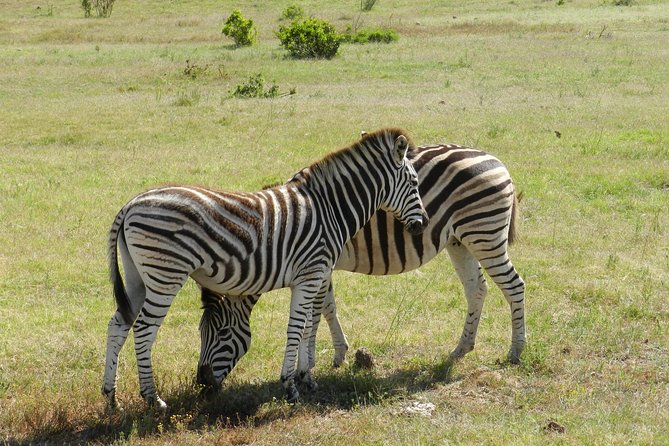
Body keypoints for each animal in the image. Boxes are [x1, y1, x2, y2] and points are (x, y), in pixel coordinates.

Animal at [103, 127, 428, 410]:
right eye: (414, 184)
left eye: (215, 332)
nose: (422, 224)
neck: (331, 209)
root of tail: (130, 204)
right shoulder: (312, 273)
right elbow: (297, 327)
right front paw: (290, 385)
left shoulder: (313, 275)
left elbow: (308, 324)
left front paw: (306, 377)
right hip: (165, 275)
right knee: (143, 329)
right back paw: (152, 398)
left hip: (137, 278)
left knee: (118, 324)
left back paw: (111, 398)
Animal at [198, 139, 528, 384]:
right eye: (201, 332)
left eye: (221, 333)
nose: (201, 383)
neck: (287, 229)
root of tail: (496, 160)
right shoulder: (321, 265)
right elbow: (327, 306)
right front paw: (338, 354)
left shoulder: (319, 264)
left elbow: (318, 311)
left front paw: (313, 363)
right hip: (460, 241)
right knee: (477, 289)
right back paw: (461, 348)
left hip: (484, 234)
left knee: (514, 286)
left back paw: (516, 351)